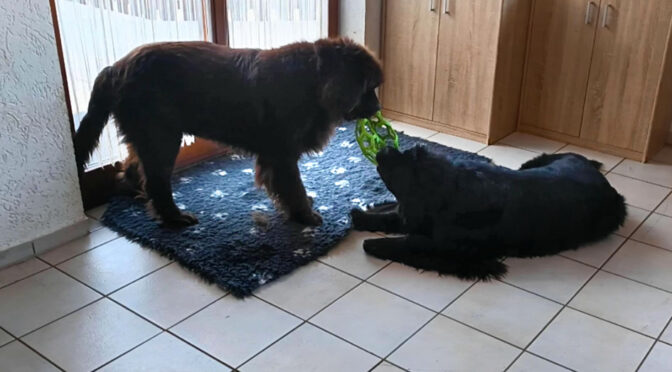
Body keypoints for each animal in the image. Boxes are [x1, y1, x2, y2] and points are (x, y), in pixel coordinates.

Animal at [75, 37, 384, 227]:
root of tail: (116, 68)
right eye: (369, 86)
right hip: (163, 136)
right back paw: (175, 218)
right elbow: (293, 186)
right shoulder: (281, 154)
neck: (313, 81)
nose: (379, 106)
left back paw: (133, 193)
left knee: (133, 168)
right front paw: (306, 215)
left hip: (147, 135)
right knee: (156, 182)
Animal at [350, 145, 628, 280]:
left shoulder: (457, 250)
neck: (451, 192)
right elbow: (394, 218)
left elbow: (411, 243)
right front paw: (361, 216)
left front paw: (374, 243)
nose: (382, 150)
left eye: (406, 160)